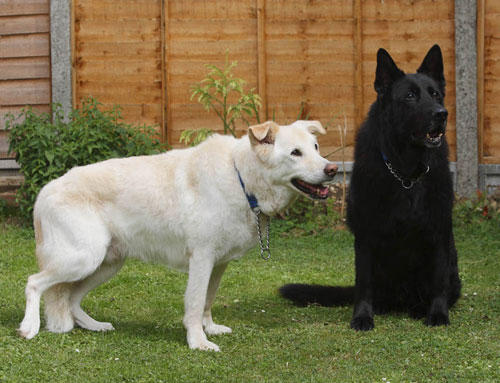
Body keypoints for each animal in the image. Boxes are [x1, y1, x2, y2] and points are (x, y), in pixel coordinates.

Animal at [20, 120, 340, 352]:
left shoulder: (218, 264)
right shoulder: (202, 259)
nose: (333, 169)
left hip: (105, 264)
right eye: (296, 153)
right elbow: (196, 303)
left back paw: (94, 325)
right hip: (83, 258)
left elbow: (208, 300)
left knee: (71, 298)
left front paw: (210, 329)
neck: (241, 178)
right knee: (35, 282)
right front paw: (198, 342)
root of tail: (44, 192)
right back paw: (29, 327)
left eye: (315, 147)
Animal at [280, 45, 458, 332]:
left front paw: (438, 314)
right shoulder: (366, 236)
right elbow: (363, 284)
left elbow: (438, 281)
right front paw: (362, 317)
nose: (441, 114)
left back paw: (419, 308)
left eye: (436, 94)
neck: (405, 173)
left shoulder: (439, 232)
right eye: (410, 96)